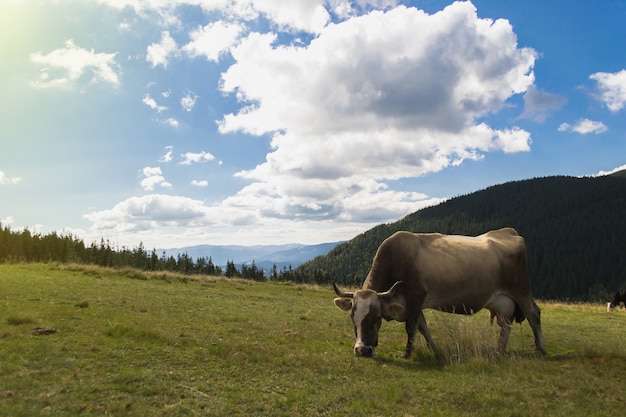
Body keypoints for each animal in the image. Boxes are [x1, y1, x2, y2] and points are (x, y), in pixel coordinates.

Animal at [334, 228, 544, 358]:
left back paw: (540, 349)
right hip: (503, 301)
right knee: (506, 324)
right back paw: (498, 350)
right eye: (352, 316)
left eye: (377, 317)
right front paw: (433, 349)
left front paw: (407, 353)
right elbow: (423, 327)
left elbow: (411, 327)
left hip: (522, 290)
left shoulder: (415, 296)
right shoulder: (413, 304)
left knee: (534, 314)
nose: (362, 350)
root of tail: (508, 231)